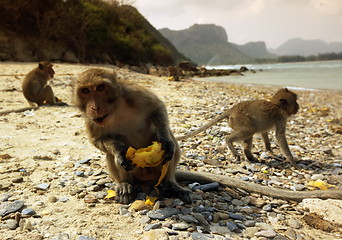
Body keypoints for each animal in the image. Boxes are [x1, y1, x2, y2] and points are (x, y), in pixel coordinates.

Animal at [74, 68, 191, 204]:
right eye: (85, 91)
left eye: (100, 88)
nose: (94, 107)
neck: (115, 109)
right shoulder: (90, 118)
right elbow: (97, 140)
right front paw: (120, 152)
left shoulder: (134, 92)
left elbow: (157, 108)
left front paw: (165, 141)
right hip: (135, 174)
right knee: (110, 154)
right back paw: (125, 185)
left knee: (171, 142)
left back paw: (171, 185)